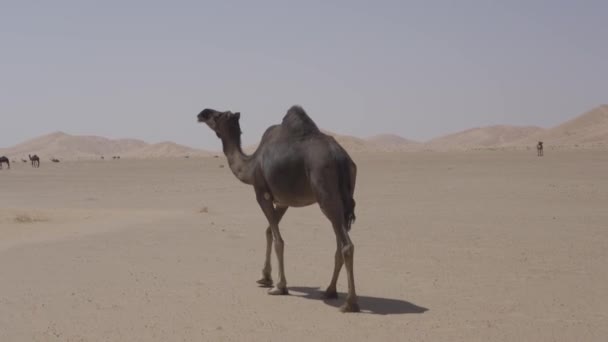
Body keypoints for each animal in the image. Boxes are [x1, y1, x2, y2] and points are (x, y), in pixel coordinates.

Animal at [198, 105, 360, 312]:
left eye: (218, 115)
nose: (202, 113)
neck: (251, 165)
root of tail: (341, 157)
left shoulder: (262, 194)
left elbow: (278, 240)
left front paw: (279, 286)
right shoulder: (283, 201)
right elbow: (268, 232)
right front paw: (265, 277)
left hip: (327, 197)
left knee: (346, 245)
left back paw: (350, 303)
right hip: (342, 201)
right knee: (339, 244)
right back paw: (330, 290)